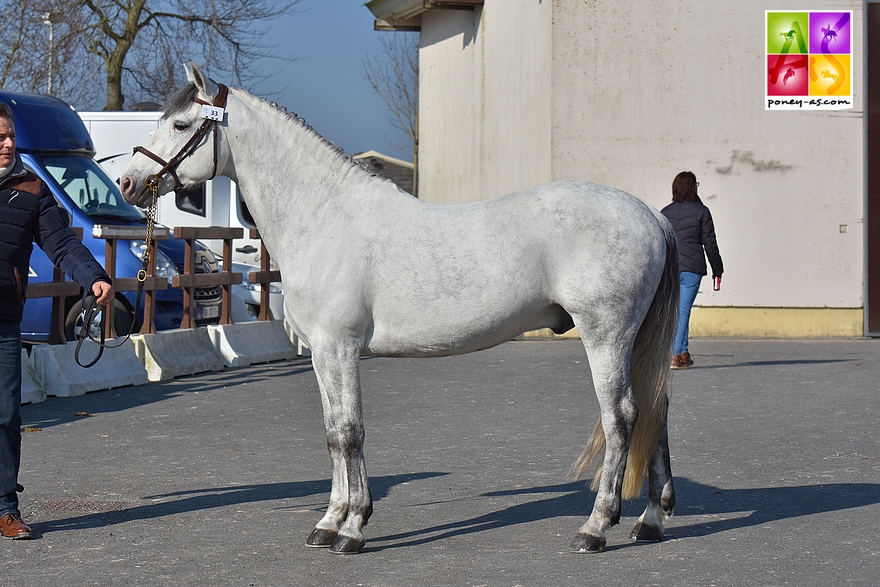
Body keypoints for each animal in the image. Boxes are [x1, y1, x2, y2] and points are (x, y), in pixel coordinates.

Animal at [120, 64, 676, 556]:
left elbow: (349, 433)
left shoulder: (339, 348)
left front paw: (352, 530)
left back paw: (596, 527)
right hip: (634, 340)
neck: (322, 216)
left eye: (180, 124)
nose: (128, 183)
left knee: (622, 417)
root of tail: (649, 213)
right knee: (655, 410)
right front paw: (329, 522)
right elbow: (332, 432)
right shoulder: (321, 353)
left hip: (606, 335)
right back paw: (650, 521)